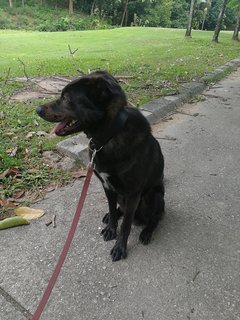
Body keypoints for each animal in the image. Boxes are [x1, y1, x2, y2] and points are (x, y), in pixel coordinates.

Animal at [36, 71, 165, 262]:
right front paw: (111, 228)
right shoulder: (107, 186)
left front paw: (120, 247)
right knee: (121, 209)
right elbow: (112, 210)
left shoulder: (133, 193)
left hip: (152, 196)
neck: (108, 136)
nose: (37, 109)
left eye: (66, 98)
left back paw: (147, 232)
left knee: (154, 218)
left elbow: (126, 225)